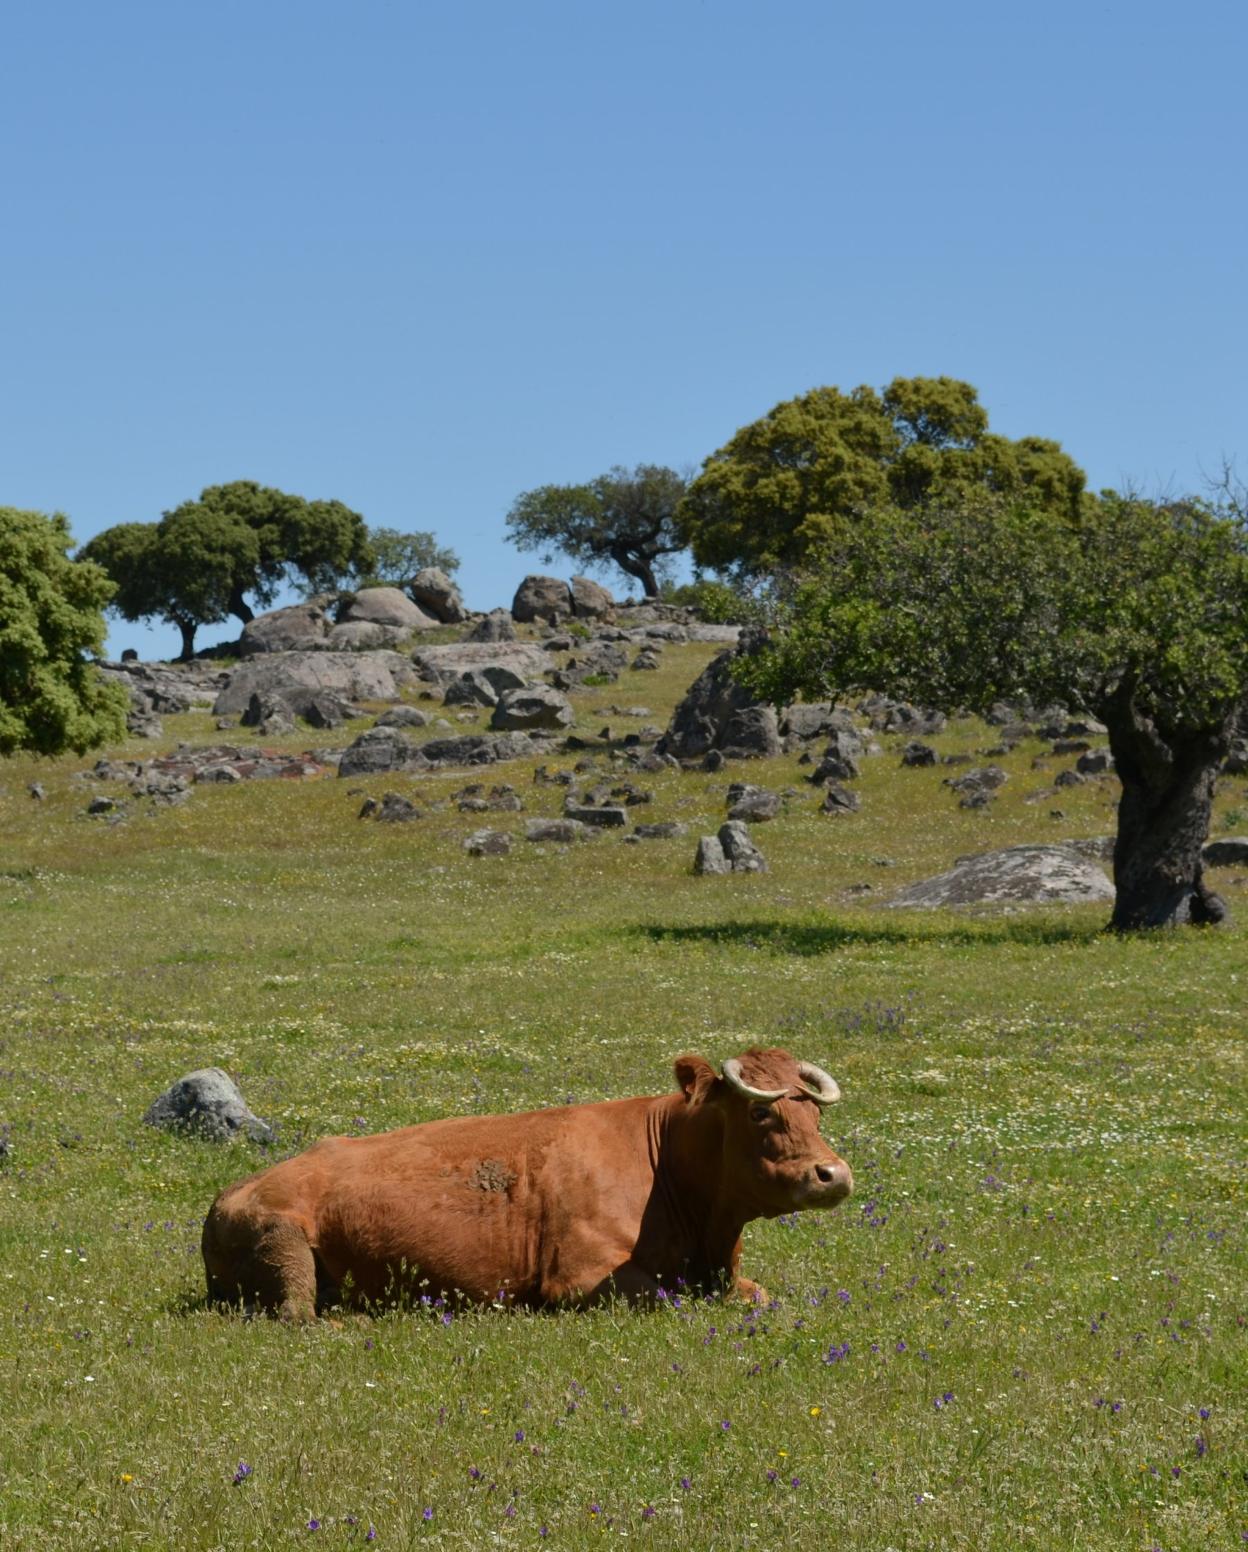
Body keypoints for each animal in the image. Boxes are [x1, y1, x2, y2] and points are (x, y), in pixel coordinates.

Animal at [201, 1045, 852, 1318]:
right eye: (760, 1112)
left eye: (815, 1114)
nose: (833, 1174)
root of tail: (227, 1196)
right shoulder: (578, 1278)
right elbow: (666, 1297)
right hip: (283, 1241)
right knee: (297, 1313)